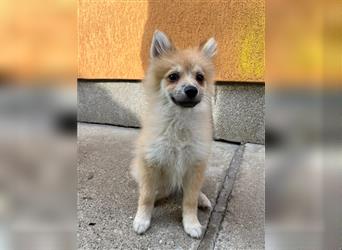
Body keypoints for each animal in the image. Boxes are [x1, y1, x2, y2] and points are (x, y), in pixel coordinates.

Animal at [131, 29, 216, 238]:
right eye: (173, 76)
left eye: (200, 77)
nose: (192, 90)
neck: (179, 122)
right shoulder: (150, 163)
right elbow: (146, 196)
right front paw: (142, 219)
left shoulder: (195, 165)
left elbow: (189, 200)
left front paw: (191, 223)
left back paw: (202, 199)